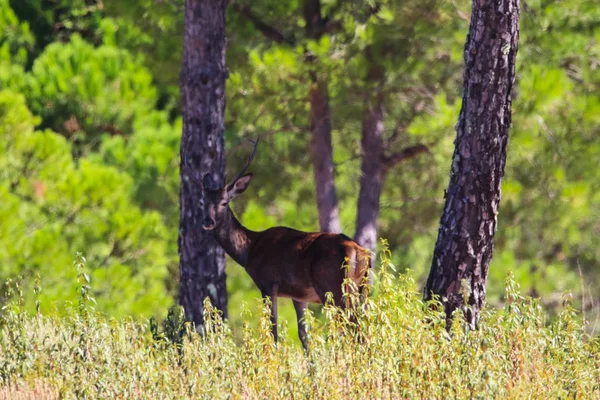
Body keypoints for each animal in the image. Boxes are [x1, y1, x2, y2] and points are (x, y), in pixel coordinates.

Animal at [184, 136, 370, 348]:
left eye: (224, 202)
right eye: (201, 203)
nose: (208, 221)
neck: (249, 249)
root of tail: (357, 251)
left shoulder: (267, 284)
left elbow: (273, 332)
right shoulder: (299, 295)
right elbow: (303, 335)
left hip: (334, 286)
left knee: (351, 327)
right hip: (362, 286)